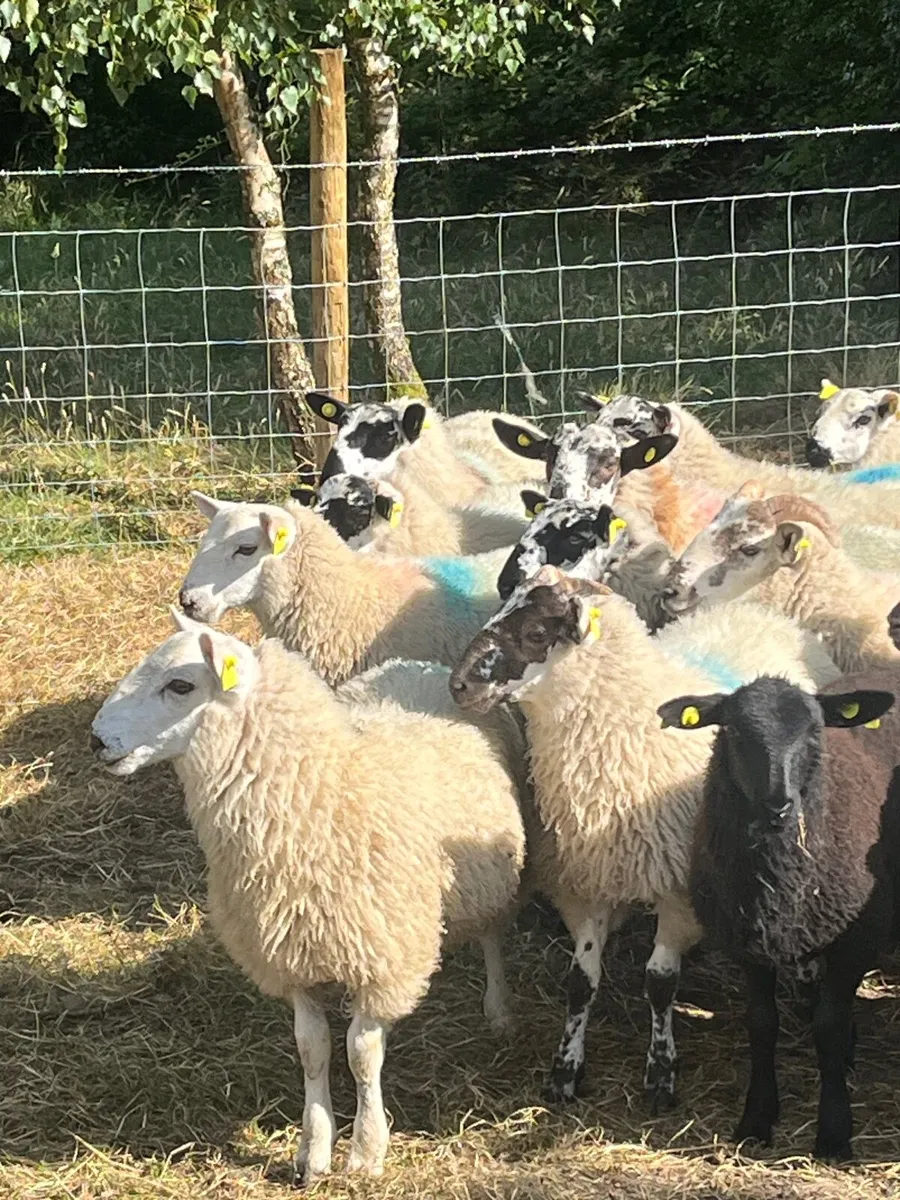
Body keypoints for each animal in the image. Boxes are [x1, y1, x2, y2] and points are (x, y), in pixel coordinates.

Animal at [91, 615, 527, 1182]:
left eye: (180, 685)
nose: (96, 739)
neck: (322, 795)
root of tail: (420, 665)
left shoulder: (380, 960)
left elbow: (361, 1054)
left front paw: (366, 1150)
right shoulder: (289, 953)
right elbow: (312, 1049)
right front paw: (314, 1149)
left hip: (496, 870)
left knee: (494, 935)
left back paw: (498, 1010)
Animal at [448, 567, 839, 1109]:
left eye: (536, 632)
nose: (458, 685)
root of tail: (758, 611)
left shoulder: (678, 890)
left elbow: (659, 983)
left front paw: (660, 1073)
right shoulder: (588, 881)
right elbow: (581, 981)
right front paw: (565, 1070)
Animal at [658, 673, 899, 1159]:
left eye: (814, 731)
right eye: (732, 730)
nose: (778, 806)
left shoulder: (857, 939)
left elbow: (827, 1026)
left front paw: (833, 1132)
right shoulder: (748, 941)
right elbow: (762, 1024)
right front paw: (756, 1119)